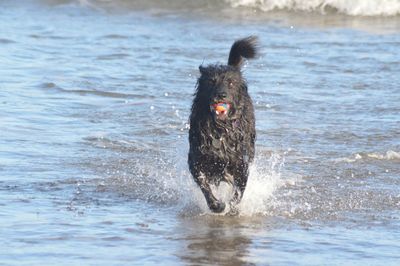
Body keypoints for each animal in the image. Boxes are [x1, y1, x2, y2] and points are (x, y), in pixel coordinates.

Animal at [188, 35, 256, 214]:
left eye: (231, 83)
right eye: (212, 82)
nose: (221, 95)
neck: (219, 129)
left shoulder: (241, 165)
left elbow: (238, 193)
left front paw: (232, 209)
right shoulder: (197, 160)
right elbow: (204, 185)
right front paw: (217, 205)